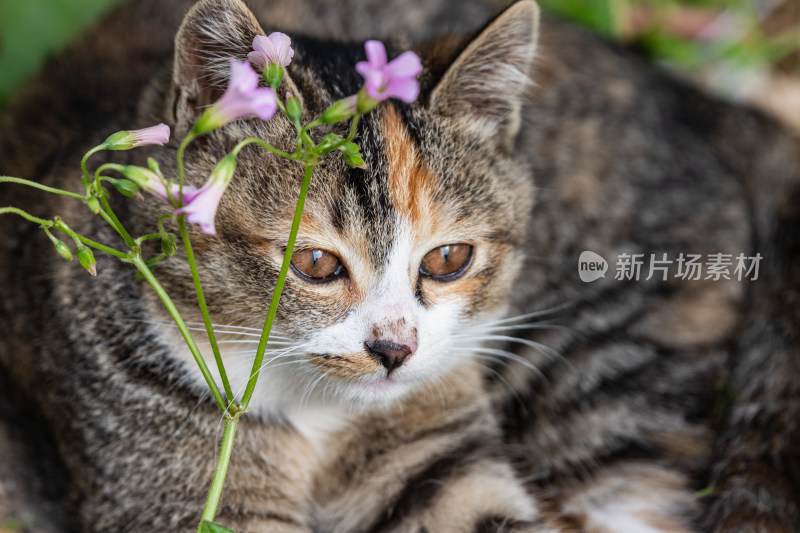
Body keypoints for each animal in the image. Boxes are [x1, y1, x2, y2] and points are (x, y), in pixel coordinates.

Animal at [1, 1, 800, 532]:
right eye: (315, 263)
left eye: (448, 258)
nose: (393, 349)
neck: (316, 414)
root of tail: (688, 102)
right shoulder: (170, 484)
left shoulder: (438, 457)